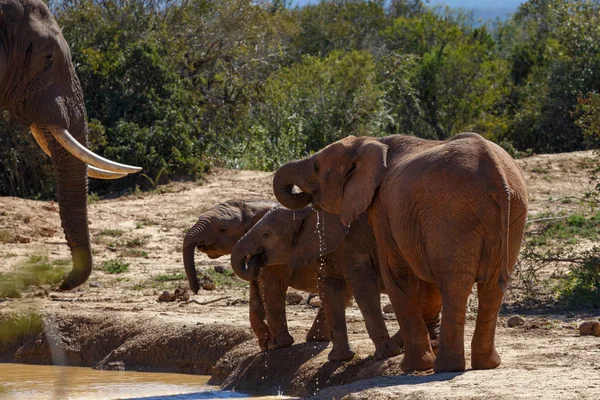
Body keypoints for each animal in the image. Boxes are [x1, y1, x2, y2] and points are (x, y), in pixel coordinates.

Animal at [230, 206, 440, 362]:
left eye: (266, 234)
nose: (254, 260)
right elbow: (330, 288)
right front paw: (338, 359)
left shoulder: (354, 242)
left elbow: (362, 285)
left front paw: (386, 354)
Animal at [274, 133, 528, 374]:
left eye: (317, 167)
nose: (305, 198)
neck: (368, 142)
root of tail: (497, 174)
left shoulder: (382, 208)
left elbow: (396, 275)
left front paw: (413, 366)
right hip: (514, 212)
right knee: (492, 288)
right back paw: (487, 364)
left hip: (455, 214)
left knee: (455, 286)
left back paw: (447, 367)